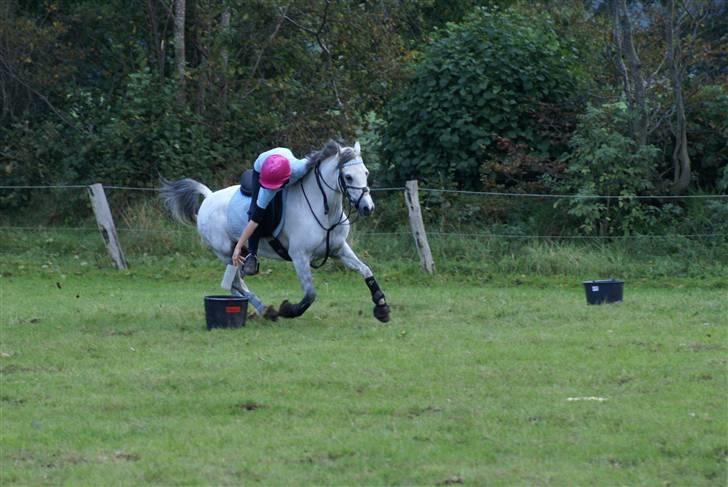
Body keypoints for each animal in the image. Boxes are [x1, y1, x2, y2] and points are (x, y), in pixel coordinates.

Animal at [160, 140, 390, 323]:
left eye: (366, 173)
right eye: (349, 177)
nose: (368, 208)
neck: (324, 210)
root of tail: (209, 197)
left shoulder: (339, 249)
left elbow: (366, 270)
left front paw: (381, 306)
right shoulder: (299, 256)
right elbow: (310, 294)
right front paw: (288, 310)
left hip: (237, 252)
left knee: (235, 284)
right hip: (224, 252)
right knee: (236, 283)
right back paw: (266, 310)